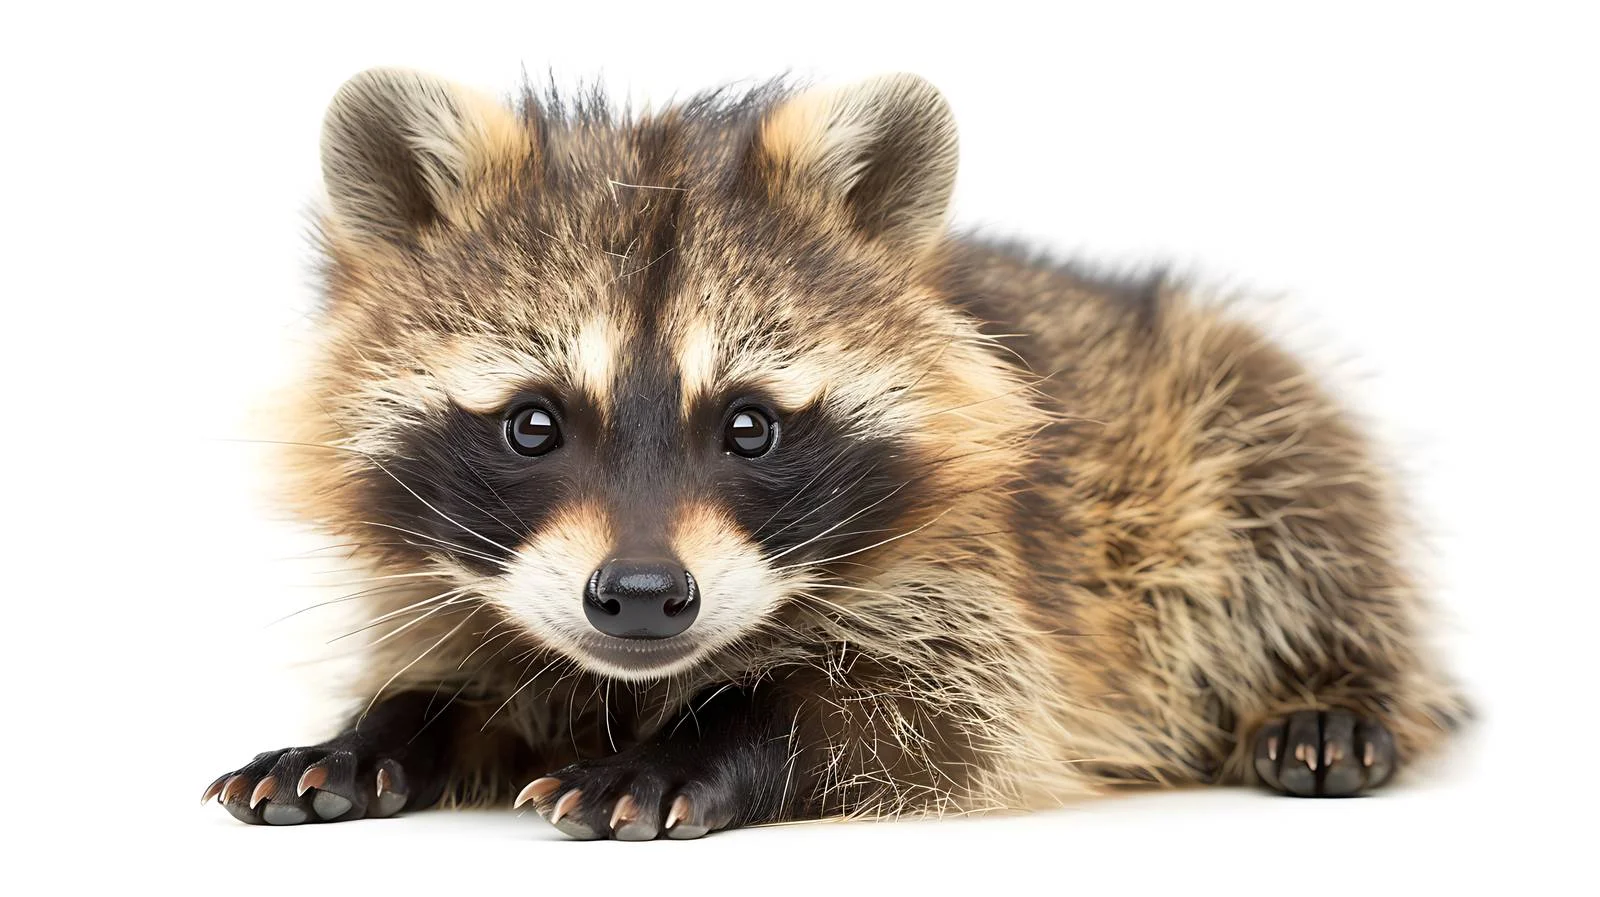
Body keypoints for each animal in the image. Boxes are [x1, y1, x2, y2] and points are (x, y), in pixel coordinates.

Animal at [202, 68, 1466, 839]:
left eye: (749, 425)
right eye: (533, 424)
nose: (644, 596)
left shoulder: (982, 591)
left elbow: (910, 718)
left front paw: (705, 745)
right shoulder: (450, 587)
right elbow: (451, 675)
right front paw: (379, 730)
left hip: (1225, 405)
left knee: (1303, 503)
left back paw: (1336, 687)